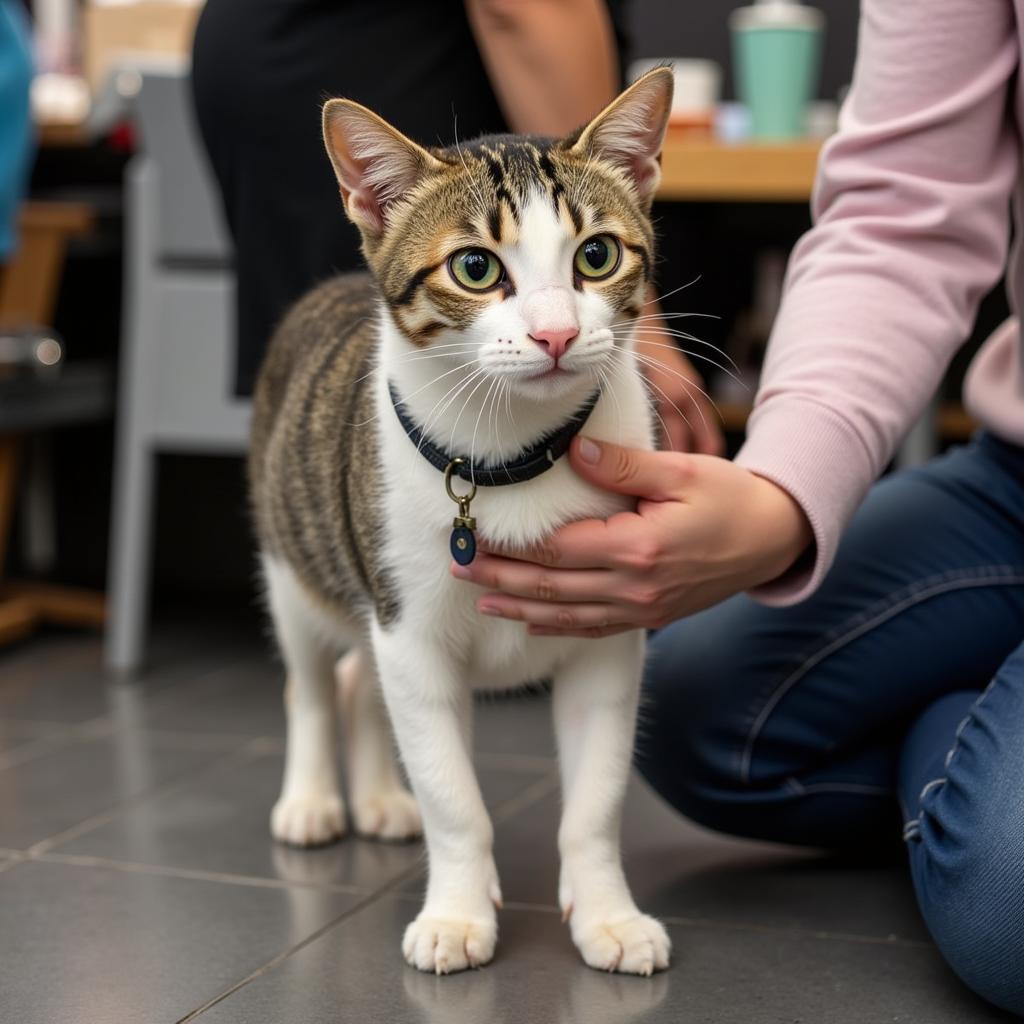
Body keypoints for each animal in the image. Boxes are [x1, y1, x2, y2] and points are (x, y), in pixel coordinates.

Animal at [248, 68, 675, 970]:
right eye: (476, 267)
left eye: (596, 256)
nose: (556, 334)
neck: (514, 459)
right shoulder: (409, 626)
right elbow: (452, 796)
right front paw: (456, 912)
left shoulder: (610, 627)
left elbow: (595, 800)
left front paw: (607, 913)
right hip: (295, 556)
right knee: (313, 681)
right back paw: (313, 799)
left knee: (359, 682)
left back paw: (380, 794)